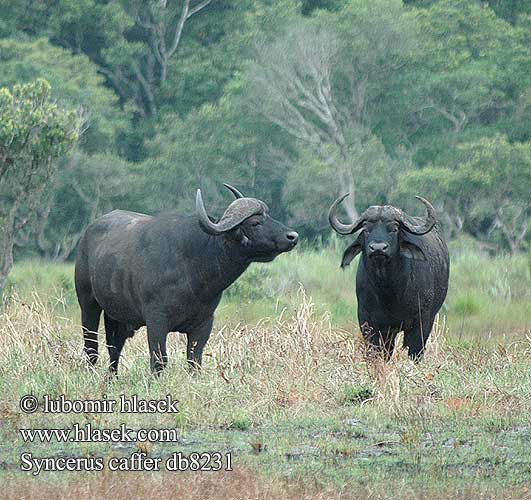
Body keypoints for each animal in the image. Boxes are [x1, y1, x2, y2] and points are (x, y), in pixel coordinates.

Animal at [75, 185, 300, 376]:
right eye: (255, 223)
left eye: (268, 216)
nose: (293, 236)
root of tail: (86, 236)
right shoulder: (156, 321)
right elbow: (159, 360)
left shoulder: (204, 324)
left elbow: (194, 360)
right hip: (87, 303)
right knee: (92, 347)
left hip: (118, 317)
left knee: (114, 347)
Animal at [328, 194, 448, 360]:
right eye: (366, 229)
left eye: (394, 229)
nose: (378, 248)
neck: (388, 290)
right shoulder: (367, 320)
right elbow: (376, 351)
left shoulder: (422, 321)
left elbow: (415, 351)